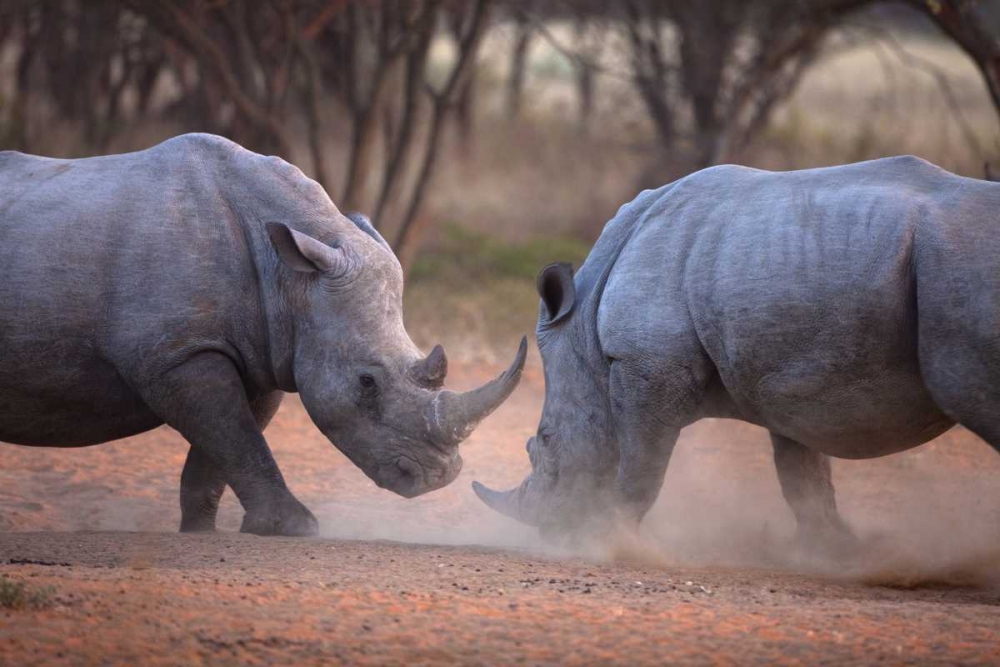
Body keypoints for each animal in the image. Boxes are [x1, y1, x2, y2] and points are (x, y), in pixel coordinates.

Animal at [0, 133, 525, 536]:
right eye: (366, 383)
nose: (438, 478)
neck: (293, 279)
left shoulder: (263, 352)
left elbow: (223, 444)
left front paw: (202, 531)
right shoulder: (175, 353)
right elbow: (236, 436)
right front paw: (296, 528)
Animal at [474, 156, 1000, 545]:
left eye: (545, 441)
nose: (551, 531)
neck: (584, 327)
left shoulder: (648, 367)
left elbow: (641, 465)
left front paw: (607, 540)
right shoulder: (797, 378)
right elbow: (802, 476)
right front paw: (833, 552)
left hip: (961, 265)